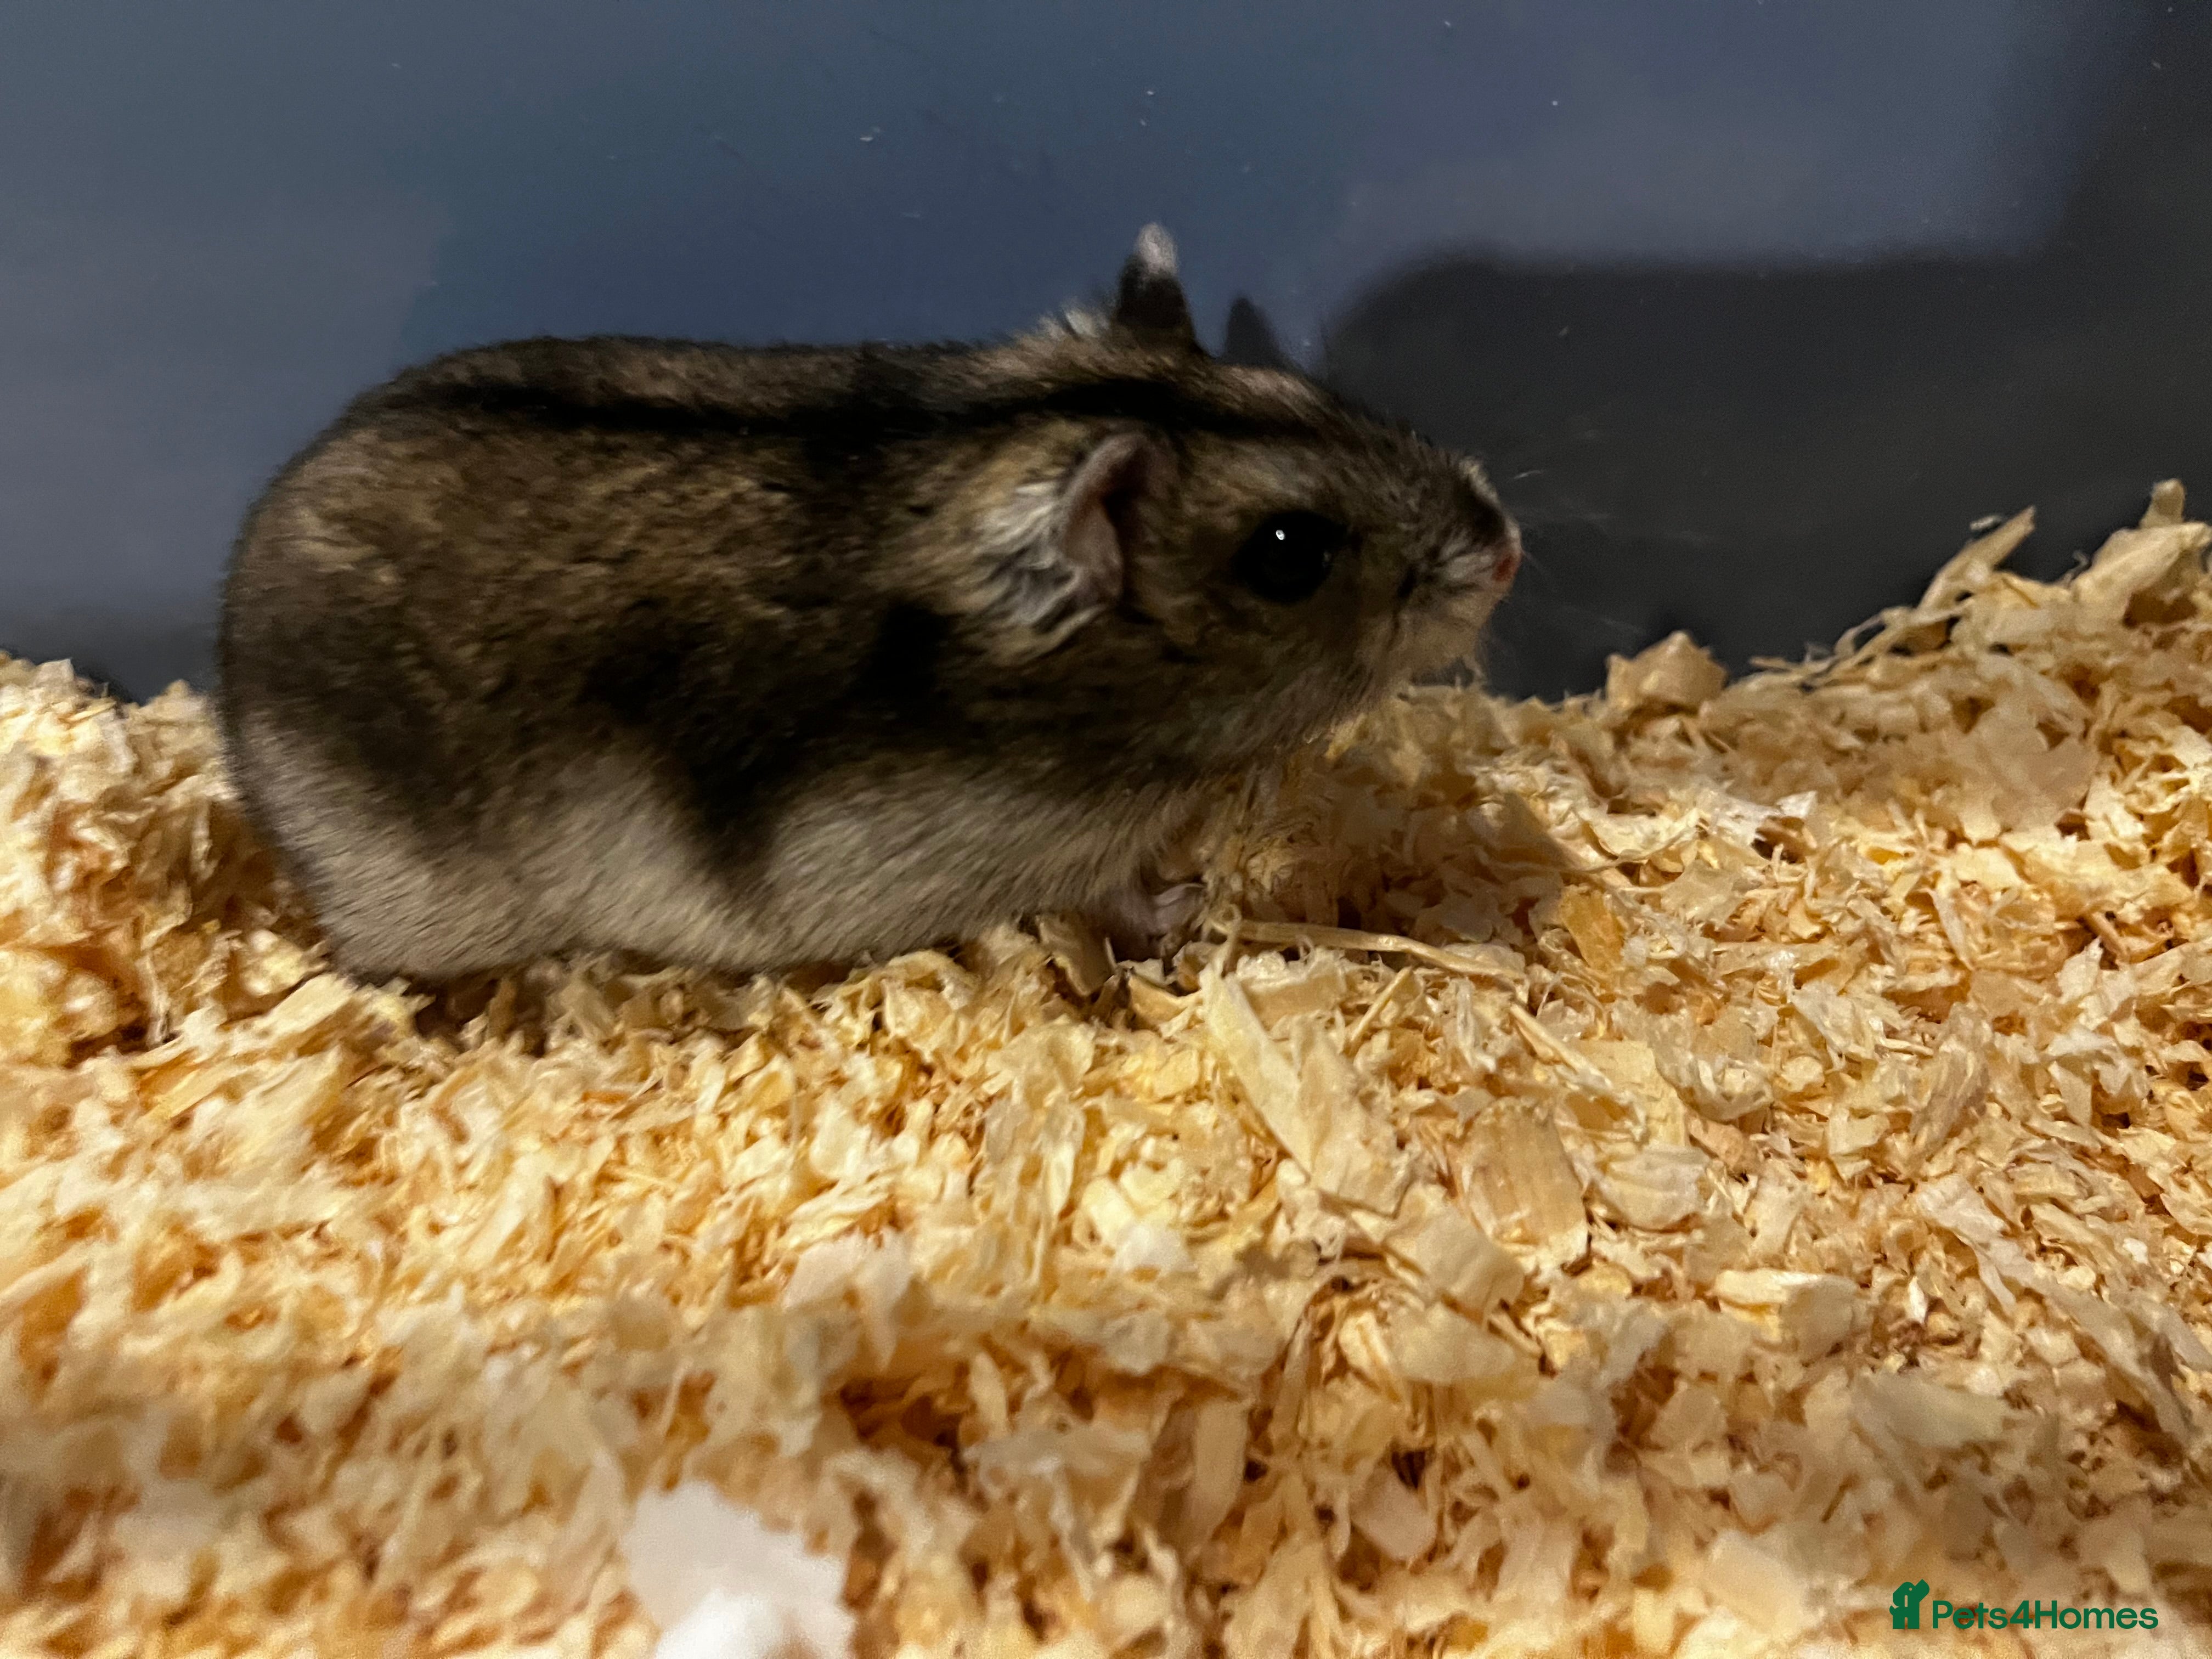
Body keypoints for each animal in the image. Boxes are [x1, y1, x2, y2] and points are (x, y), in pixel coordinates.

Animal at [216, 225, 1520, 982]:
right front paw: (1192, 907)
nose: (1507, 548)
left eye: (1306, 392)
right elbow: (1120, 897)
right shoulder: (1050, 851)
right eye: (1290, 554)